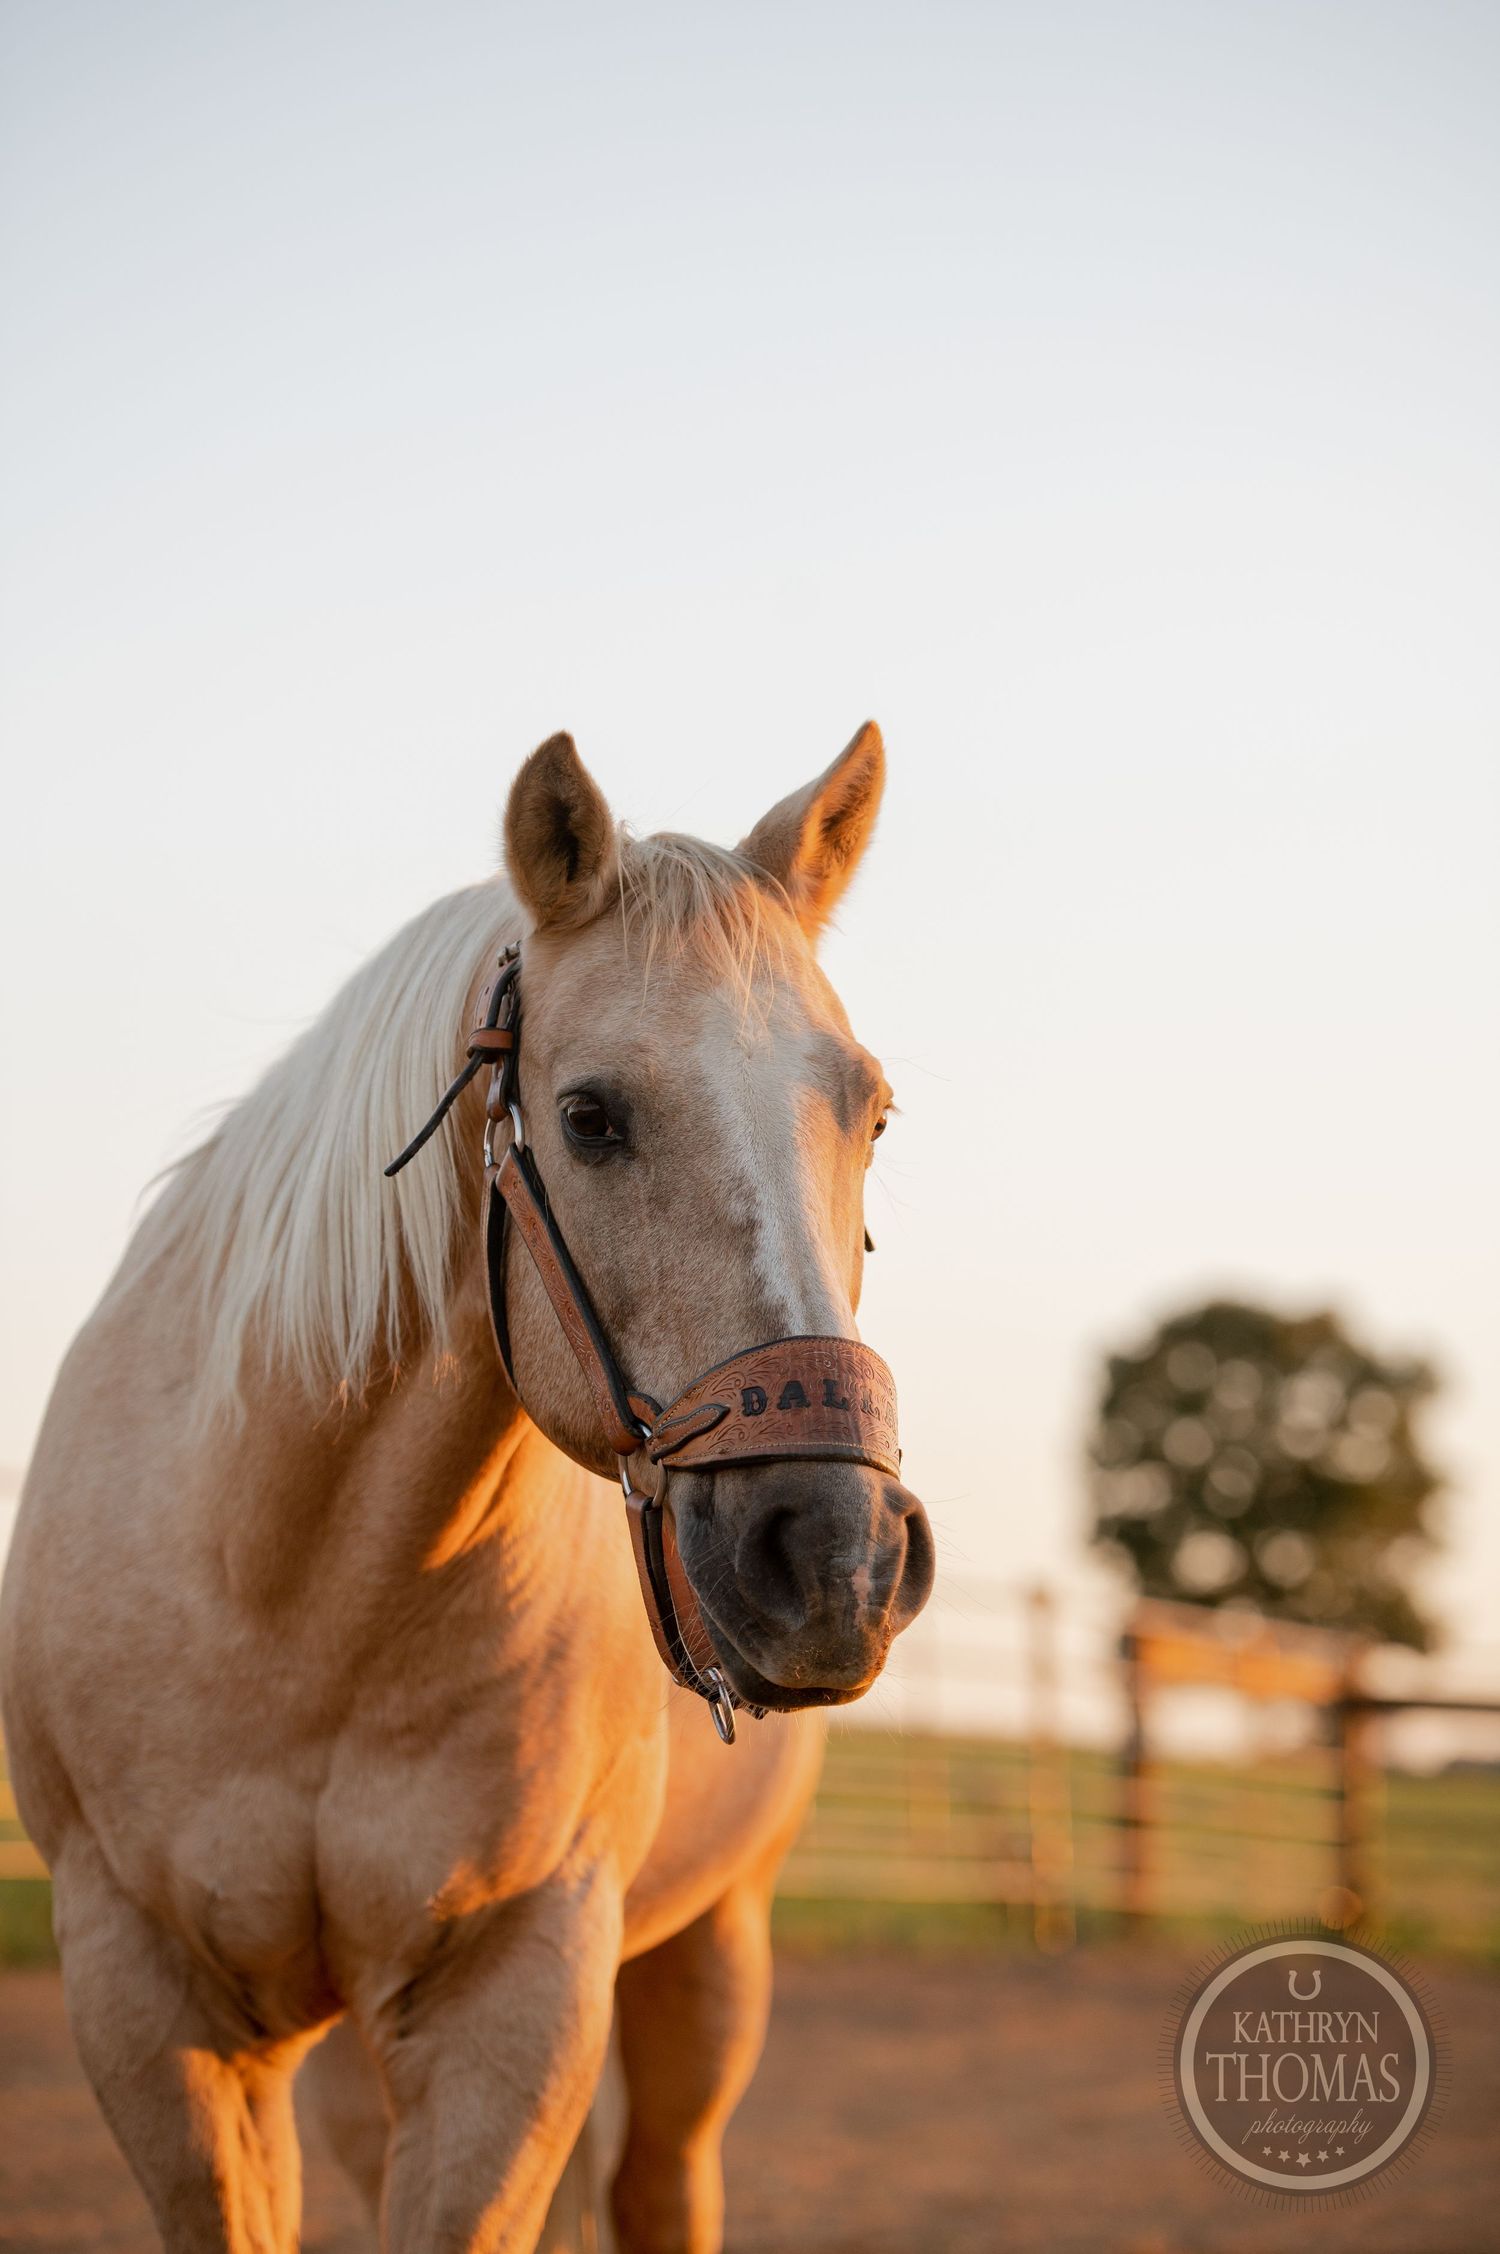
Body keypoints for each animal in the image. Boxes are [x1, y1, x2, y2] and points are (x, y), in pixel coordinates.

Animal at [0, 724, 934, 2252]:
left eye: (873, 1113)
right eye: (590, 1115)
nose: (836, 1561)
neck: (296, 1593)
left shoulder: (518, 1990)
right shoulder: (151, 1999)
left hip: (708, 1955)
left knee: (661, 2179)